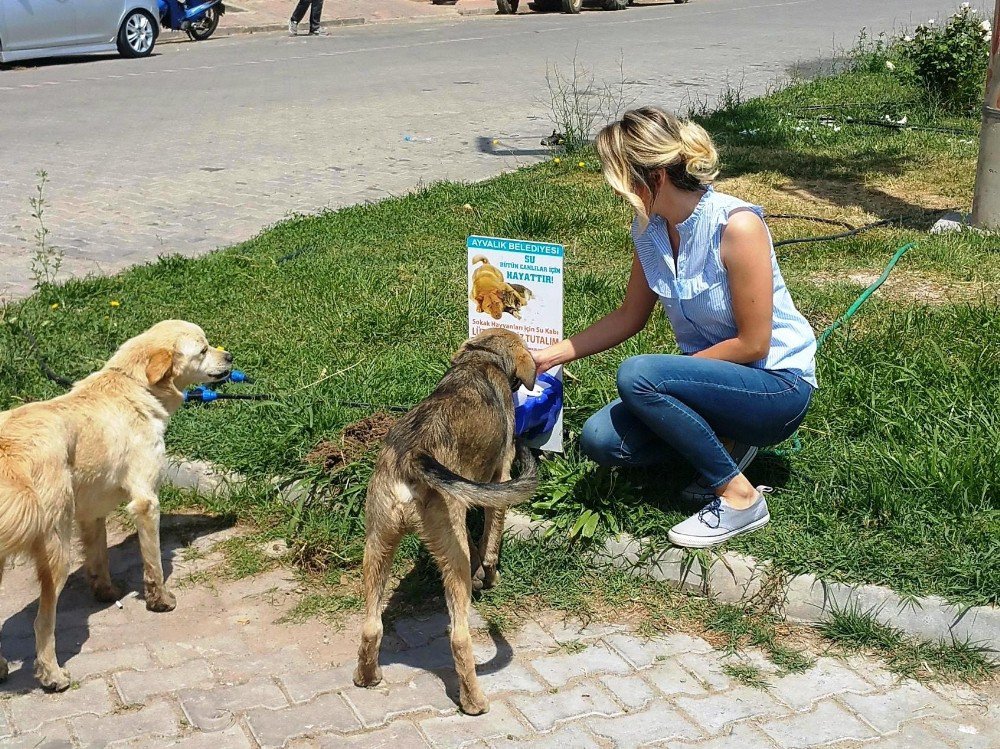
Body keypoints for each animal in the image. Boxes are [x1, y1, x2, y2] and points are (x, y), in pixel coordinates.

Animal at [0, 318, 232, 692]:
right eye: (203, 349)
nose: (230, 356)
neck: (133, 385)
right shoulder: (146, 501)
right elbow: (154, 566)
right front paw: (160, 601)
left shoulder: (91, 512)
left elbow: (100, 558)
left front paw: (106, 592)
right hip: (56, 551)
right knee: (42, 624)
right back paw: (52, 674)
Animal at [354, 328, 540, 712]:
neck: (481, 359)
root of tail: (412, 458)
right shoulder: (499, 478)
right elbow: (490, 543)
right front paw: (490, 576)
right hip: (452, 556)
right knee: (459, 637)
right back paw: (474, 701)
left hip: (377, 543)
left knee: (371, 625)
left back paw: (366, 677)